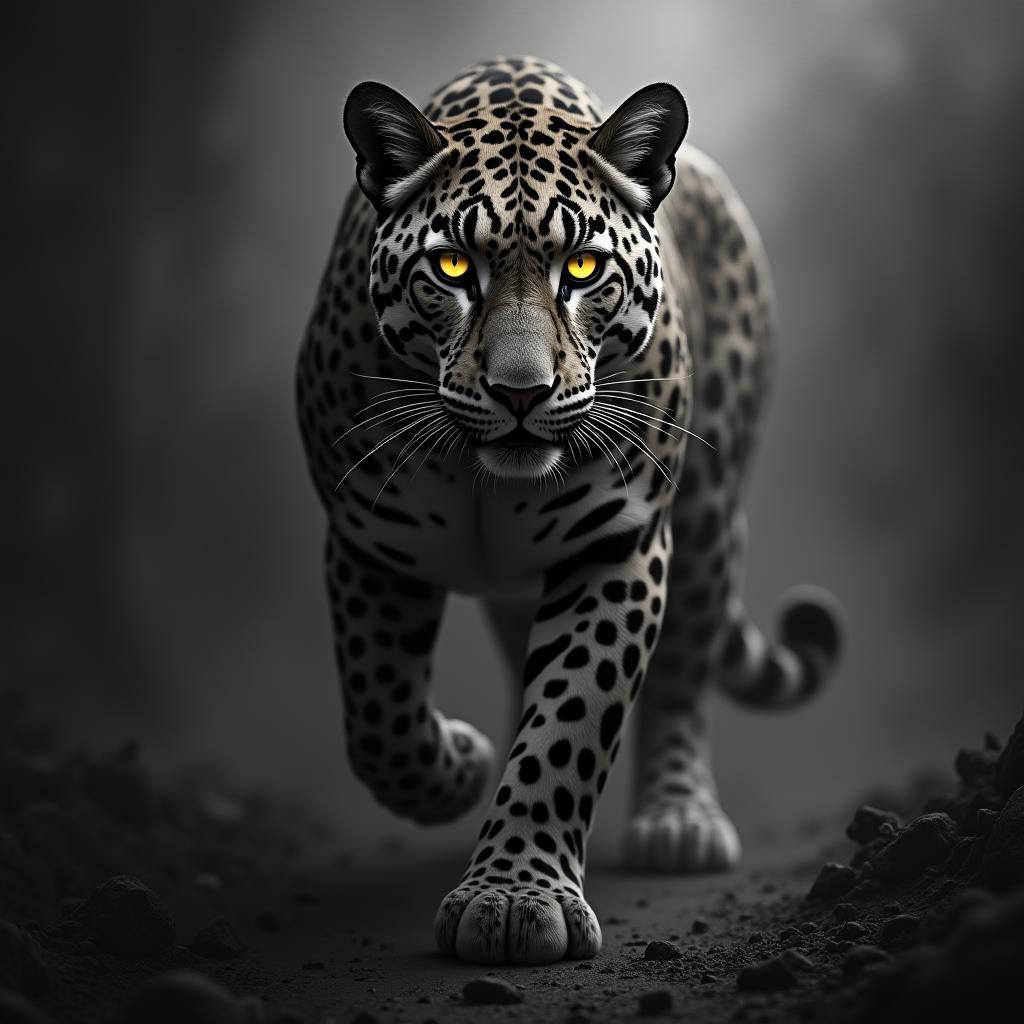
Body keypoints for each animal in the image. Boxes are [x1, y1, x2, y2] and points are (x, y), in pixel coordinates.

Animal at [295, 56, 843, 965]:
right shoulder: (370, 536)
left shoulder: (617, 544)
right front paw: (459, 766)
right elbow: (379, 716)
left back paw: (678, 822)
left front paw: (517, 892)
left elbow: (571, 720)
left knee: (684, 672)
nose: (521, 393)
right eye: (453, 269)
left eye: (583, 270)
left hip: (706, 520)